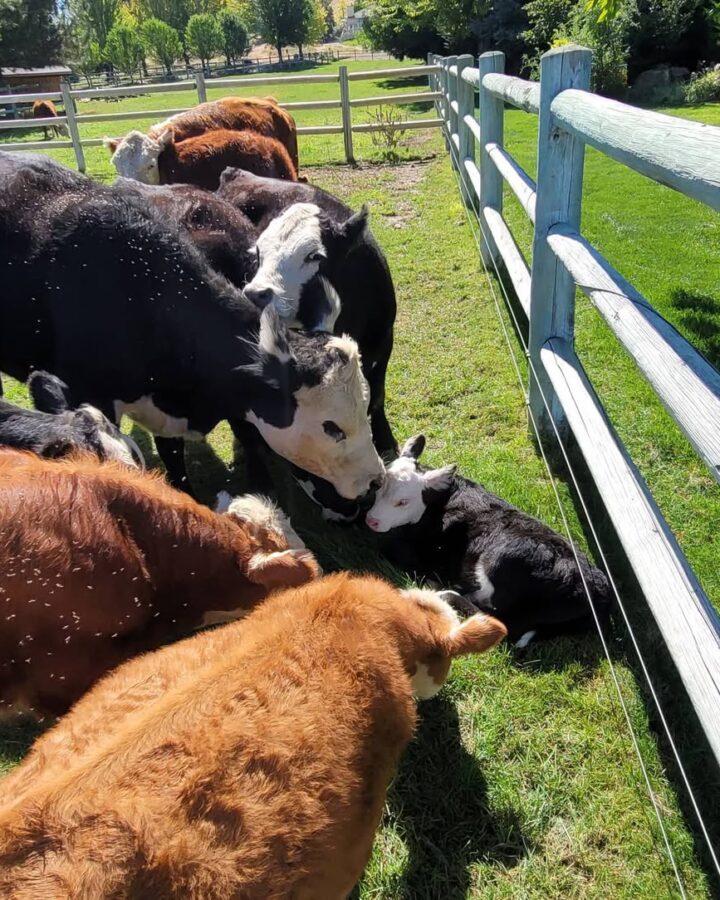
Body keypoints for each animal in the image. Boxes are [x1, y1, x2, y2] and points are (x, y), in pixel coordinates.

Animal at [366, 435, 612, 646]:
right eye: (378, 486)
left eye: (403, 502)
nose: (371, 520)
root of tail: (599, 591)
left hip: (502, 559)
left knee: (503, 623)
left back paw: (442, 593)